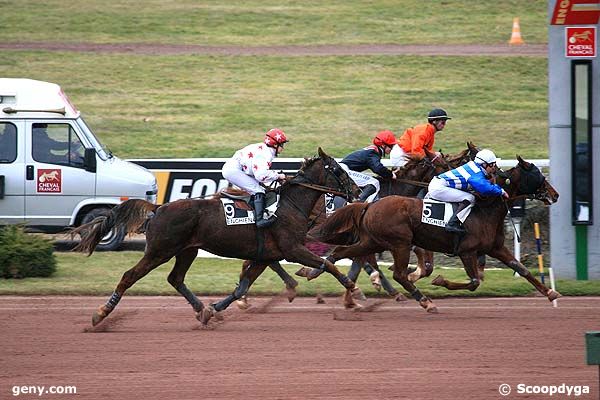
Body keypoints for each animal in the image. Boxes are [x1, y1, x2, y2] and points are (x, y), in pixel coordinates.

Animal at [70, 148, 360, 326]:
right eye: (338, 170)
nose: (357, 190)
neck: (289, 206)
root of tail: (159, 207)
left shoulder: (266, 255)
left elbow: (242, 287)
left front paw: (215, 308)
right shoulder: (292, 248)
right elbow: (327, 263)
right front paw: (352, 289)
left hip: (187, 250)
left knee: (175, 279)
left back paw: (201, 309)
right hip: (159, 251)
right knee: (130, 276)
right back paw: (100, 314)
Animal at [312, 156, 560, 312]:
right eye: (537, 174)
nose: (555, 194)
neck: (484, 209)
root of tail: (369, 205)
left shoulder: (495, 248)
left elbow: (521, 269)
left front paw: (550, 293)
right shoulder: (467, 251)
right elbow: (473, 281)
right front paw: (440, 280)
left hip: (374, 241)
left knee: (344, 252)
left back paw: (318, 271)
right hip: (400, 243)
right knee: (398, 274)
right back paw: (425, 301)